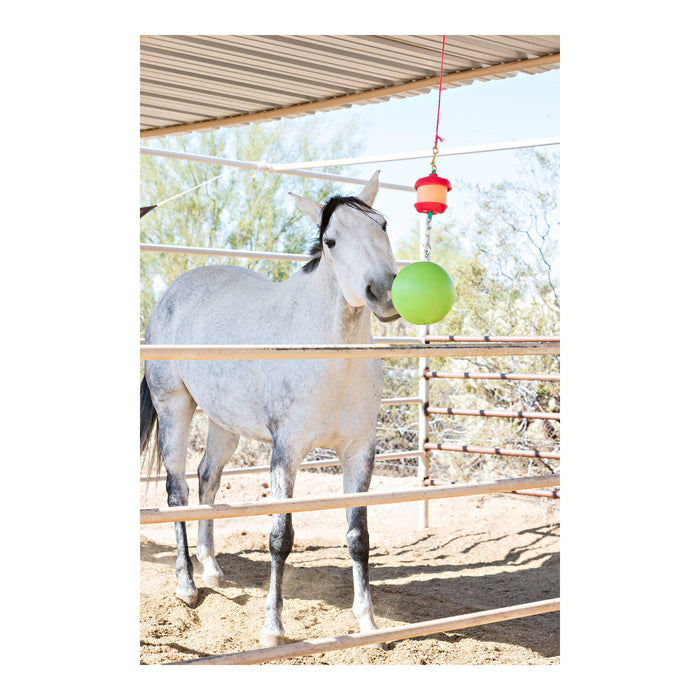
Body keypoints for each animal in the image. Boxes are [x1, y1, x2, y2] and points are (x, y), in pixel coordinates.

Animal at [140, 171, 400, 647]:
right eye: (331, 241)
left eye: (383, 225)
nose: (383, 292)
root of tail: (172, 293)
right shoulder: (286, 451)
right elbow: (281, 536)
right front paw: (273, 628)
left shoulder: (359, 451)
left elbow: (358, 537)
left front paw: (369, 624)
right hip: (174, 408)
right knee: (178, 490)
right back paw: (187, 585)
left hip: (224, 422)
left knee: (207, 479)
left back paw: (212, 569)